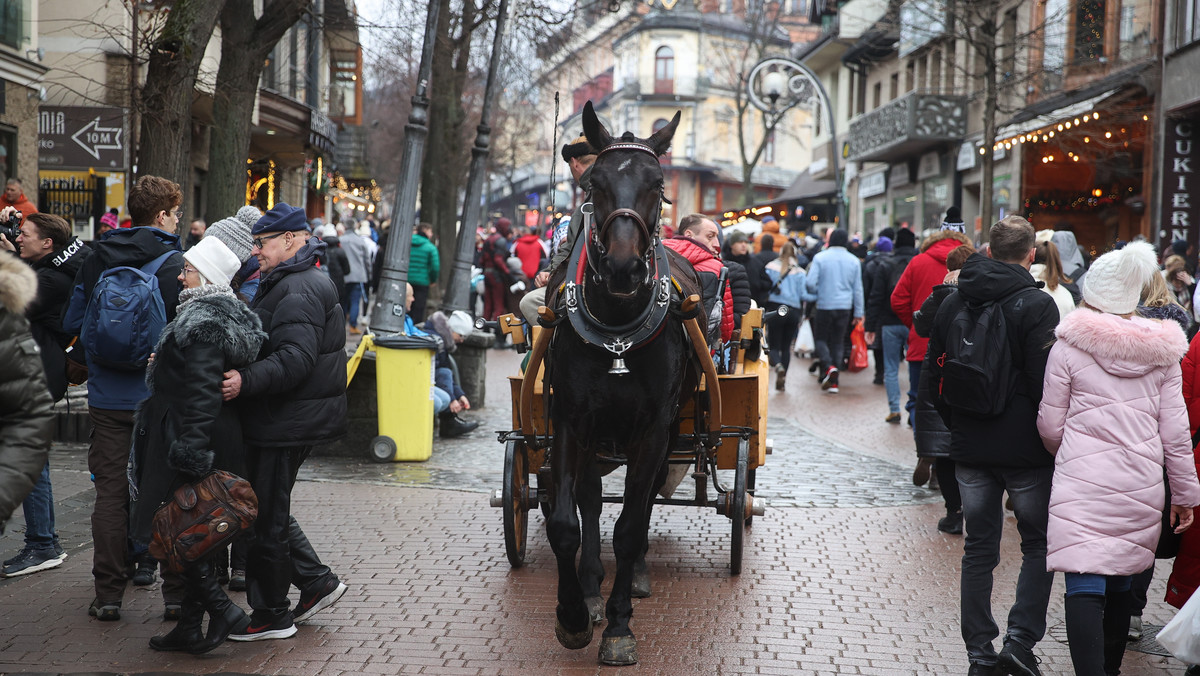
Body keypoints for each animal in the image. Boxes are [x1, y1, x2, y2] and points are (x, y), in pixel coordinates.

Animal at [544, 102, 696, 667]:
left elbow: (630, 526)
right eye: (595, 183)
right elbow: (566, 522)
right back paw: (590, 586)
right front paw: (572, 616)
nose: (626, 267)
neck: (617, 335)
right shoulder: (570, 420)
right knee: (589, 497)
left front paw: (618, 625)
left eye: (658, 184)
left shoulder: (654, 431)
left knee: (644, 501)